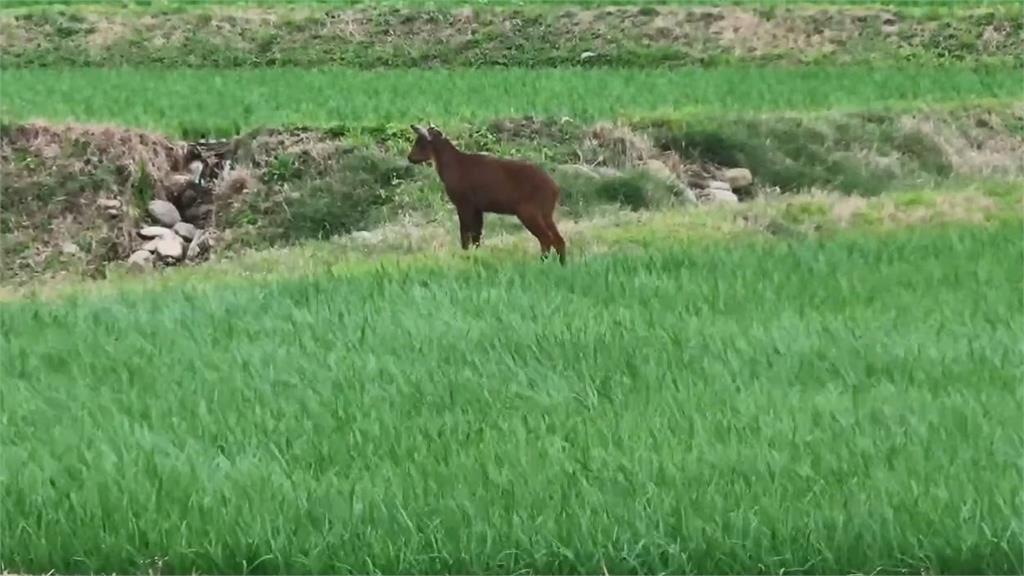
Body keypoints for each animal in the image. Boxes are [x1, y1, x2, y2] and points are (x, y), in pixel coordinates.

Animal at [405, 124, 565, 264]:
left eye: (421, 143)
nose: (409, 157)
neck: (453, 165)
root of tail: (555, 188)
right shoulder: (477, 207)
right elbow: (476, 237)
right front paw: (476, 256)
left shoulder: (464, 202)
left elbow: (465, 235)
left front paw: (465, 256)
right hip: (546, 212)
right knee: (558, 240)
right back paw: (562, 264)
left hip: (528, 211)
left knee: (546, 239)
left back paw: (542, 263)